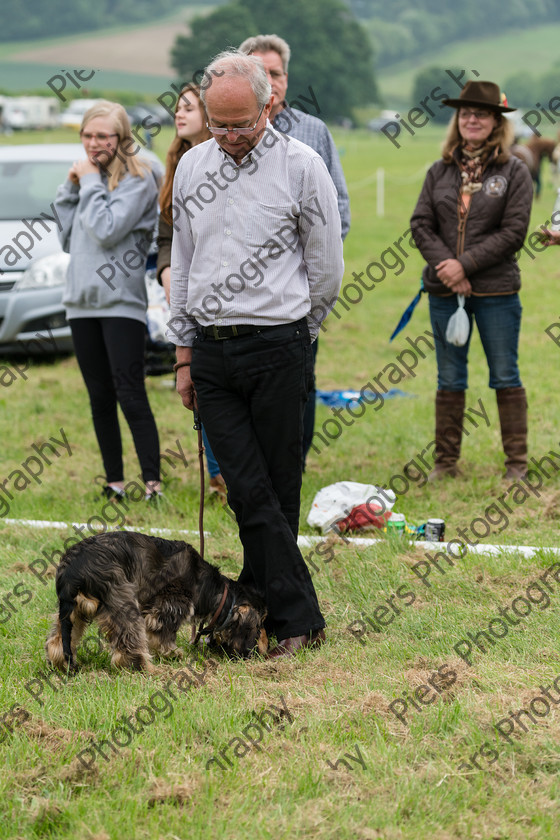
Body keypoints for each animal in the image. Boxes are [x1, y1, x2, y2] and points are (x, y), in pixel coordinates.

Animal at [46, 528, 270, 672]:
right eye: (260, 625)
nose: (263, 652)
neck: (209, 587)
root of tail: (71, 572)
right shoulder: (169, 607)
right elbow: (162, 636)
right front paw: (173, 654)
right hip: (124, 604)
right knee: (127, 649)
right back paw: (146, 669)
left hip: (73, 613)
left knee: (57, 640)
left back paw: (60, 662)